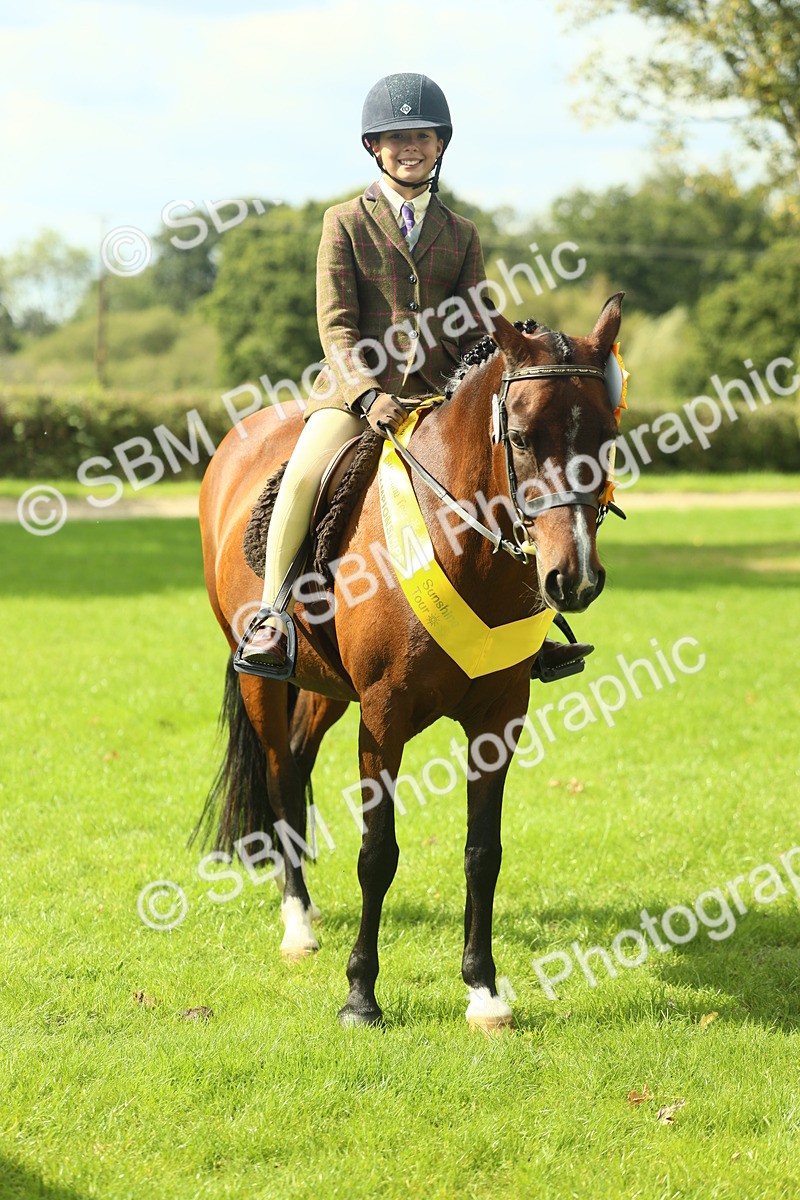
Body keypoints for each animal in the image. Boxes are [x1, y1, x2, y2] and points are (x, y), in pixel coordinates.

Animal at [196, 294, 624, 1030]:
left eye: (606, 436)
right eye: (520, 438)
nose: (573, 580)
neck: (465, 547)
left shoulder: (498, 719)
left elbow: (483, 853)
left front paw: (484, 992)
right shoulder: (384, 718)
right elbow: (378, 853)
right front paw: (360, 995)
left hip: (326, 689)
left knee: (300, 761)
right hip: (265, 685)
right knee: (280, 778)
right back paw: (297, 923)